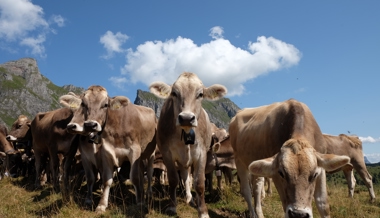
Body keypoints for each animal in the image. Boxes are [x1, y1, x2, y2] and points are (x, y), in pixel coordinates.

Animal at [58, 85, 157, 213]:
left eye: (105, 105)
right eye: (84, 104)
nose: (90, 125)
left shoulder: (134, 151)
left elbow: (134, 177)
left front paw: (140, 203)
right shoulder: (105, 153)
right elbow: (104, 179)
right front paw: (101, 204)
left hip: (150, 153)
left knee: (149, 173)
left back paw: (148, 193)